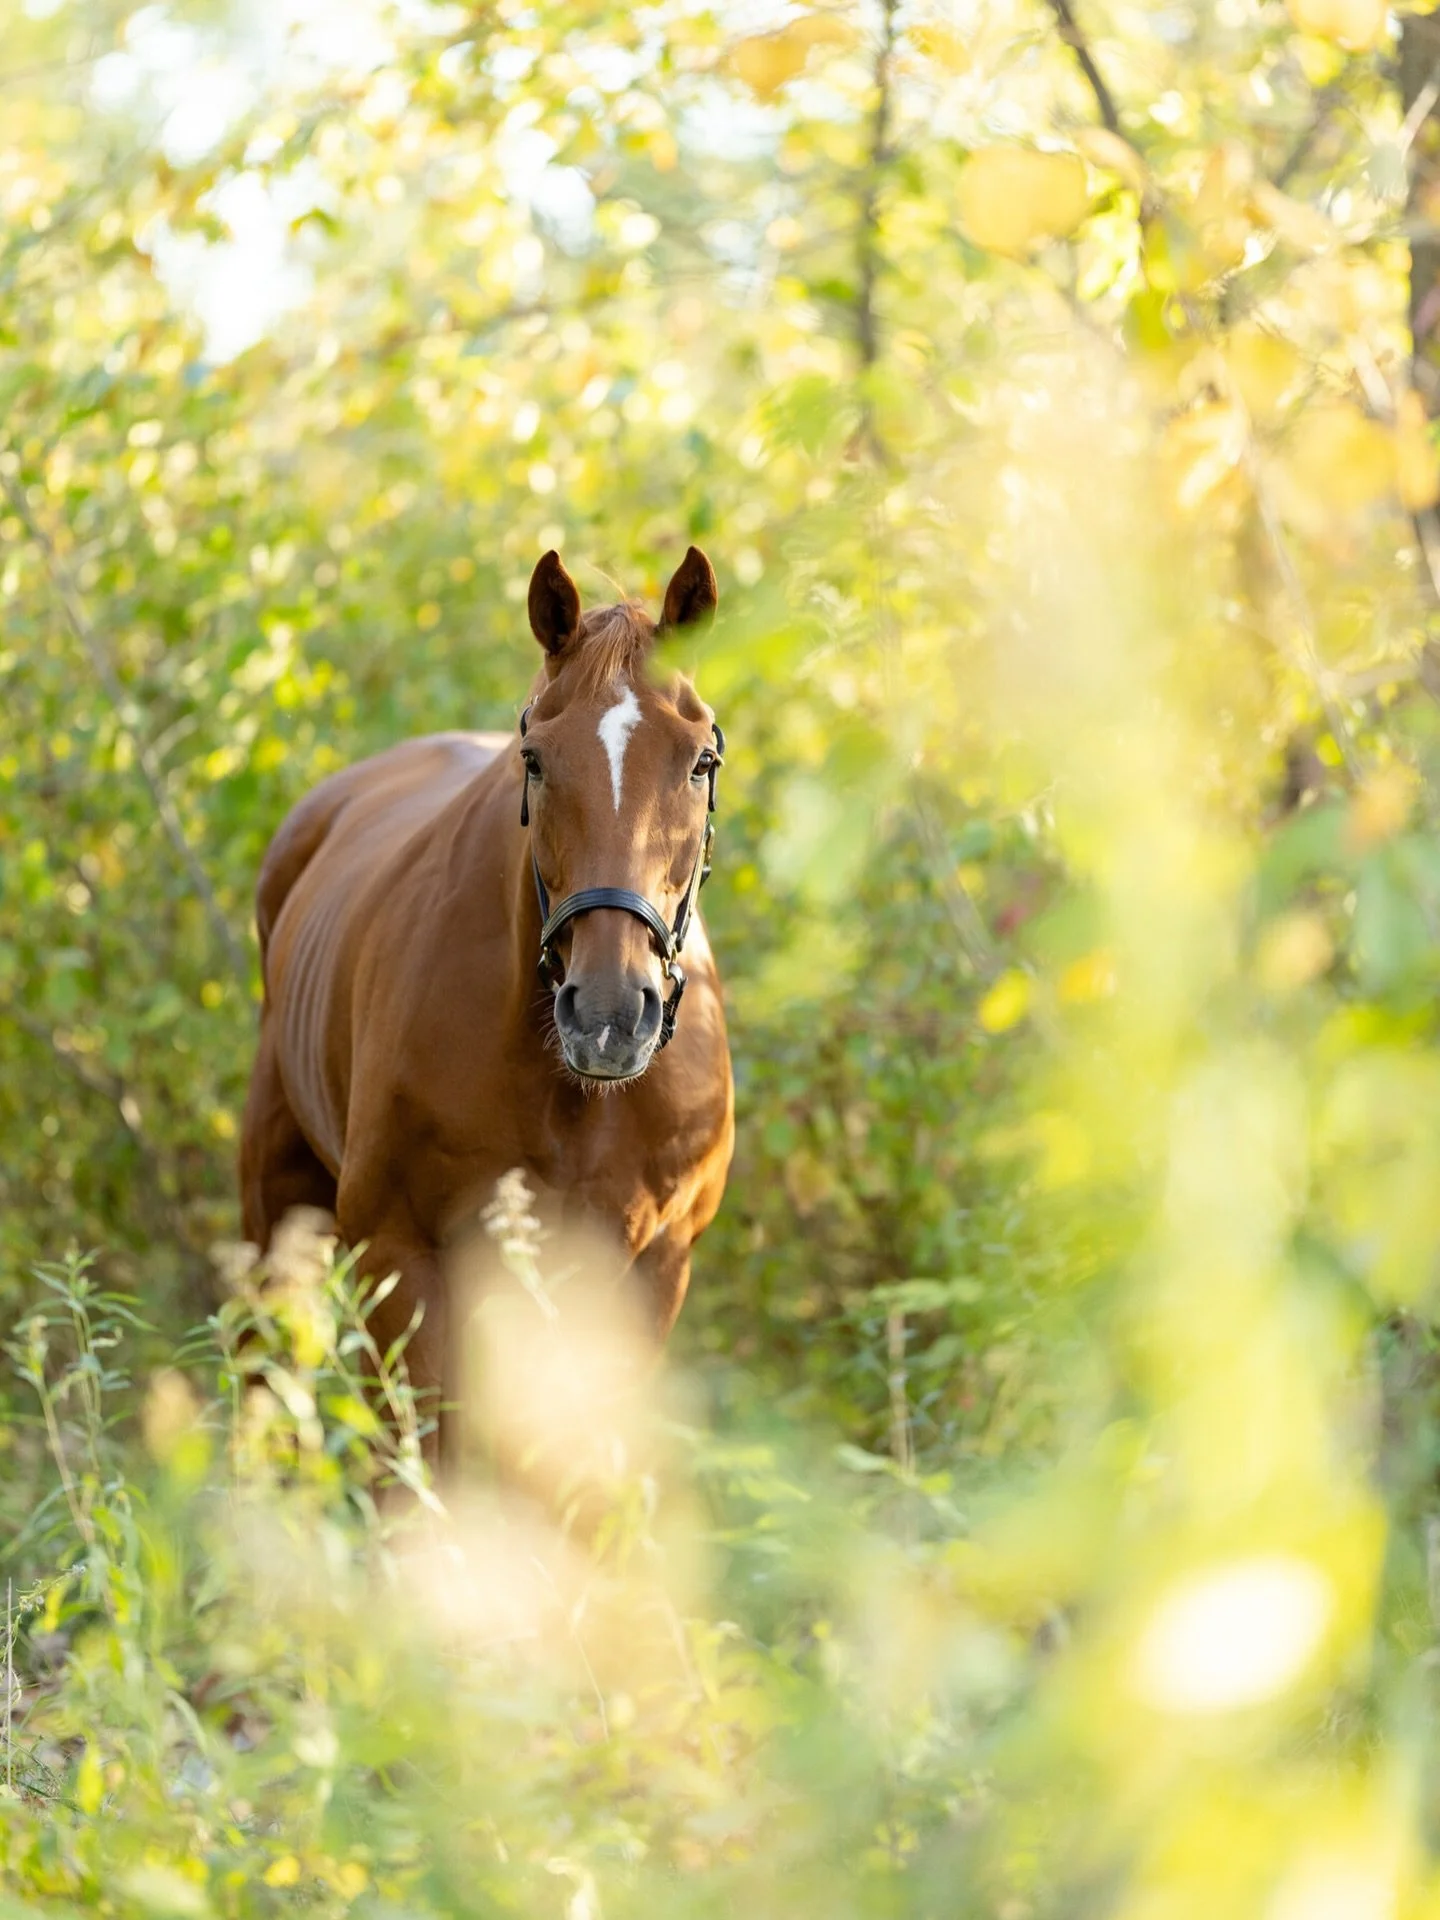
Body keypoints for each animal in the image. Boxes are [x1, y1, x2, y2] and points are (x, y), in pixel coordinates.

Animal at [238, 547, 735, 1461]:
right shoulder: (400, 1251)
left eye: (700, 764)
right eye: (535, 758)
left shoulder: (648, 1271)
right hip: (276, 1209)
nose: (608, 1016)